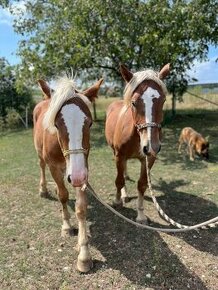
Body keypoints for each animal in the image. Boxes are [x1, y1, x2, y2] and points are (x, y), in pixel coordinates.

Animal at [33, 76, 103, 272]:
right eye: (56, 124)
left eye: (90, 123)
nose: (76, 177)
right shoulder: (55, 168)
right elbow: (63, 196)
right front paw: (66, 226)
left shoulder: (82, 169)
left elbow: (81, 207)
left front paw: (84, 254)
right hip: (40, 155)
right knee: (41, 166)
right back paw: (43, 190)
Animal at [105, 64, 170, 224]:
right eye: (134, 103)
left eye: (163, 101)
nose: (151, 146)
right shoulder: (119, 155)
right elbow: (119, 180)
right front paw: (117, 201)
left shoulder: (148, 159)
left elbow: (142, 184)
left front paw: (140, 214)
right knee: (121, 173)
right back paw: (124, 195)